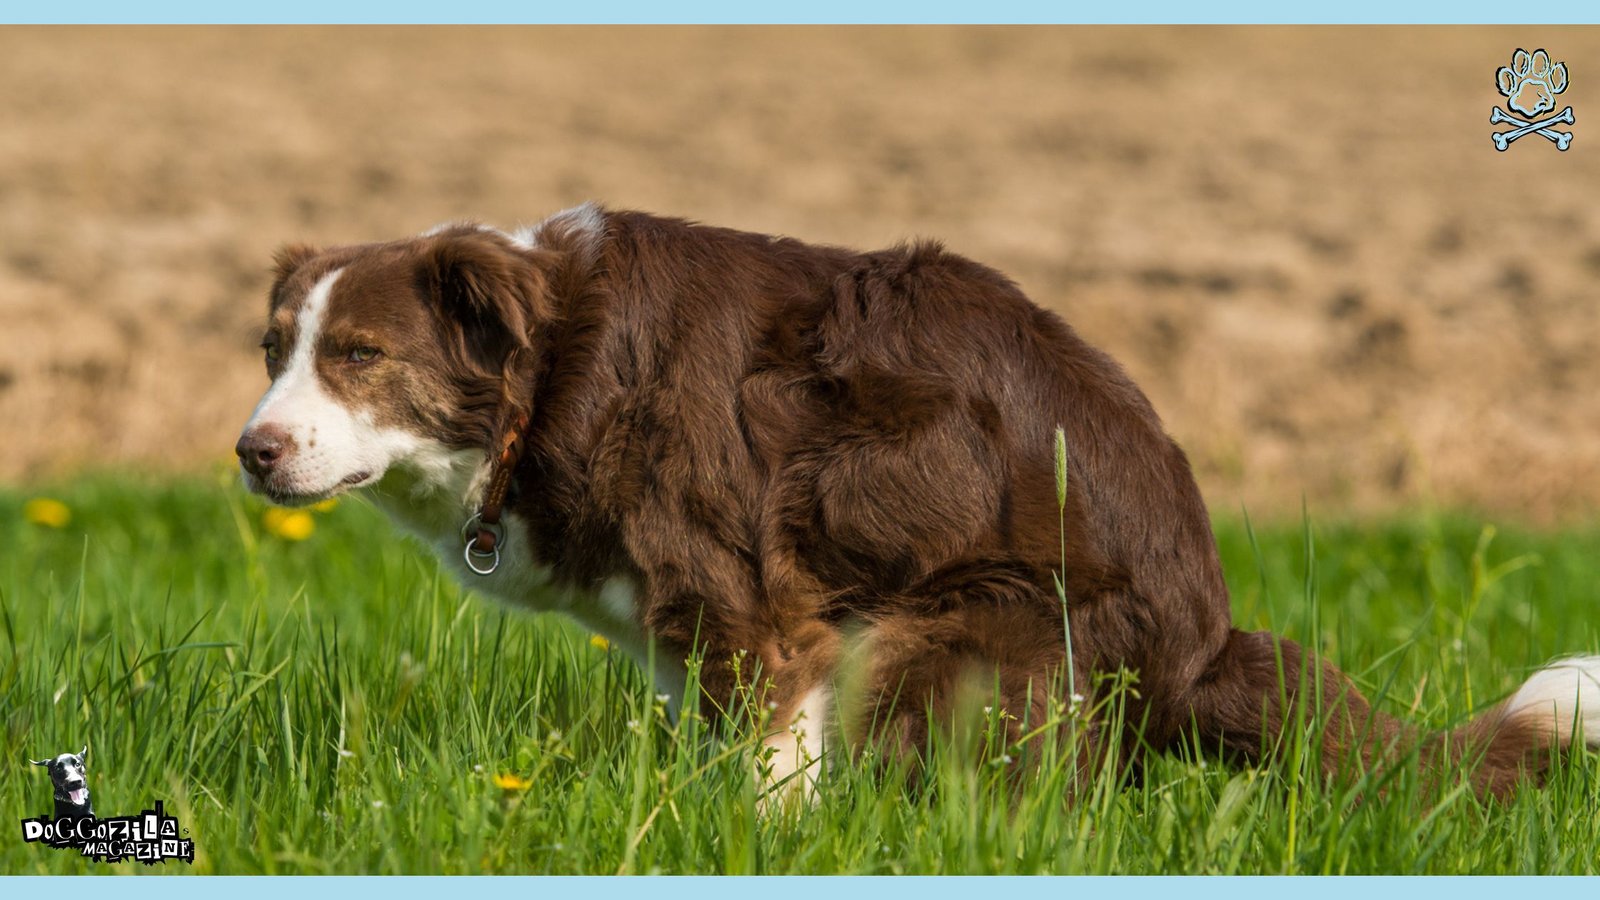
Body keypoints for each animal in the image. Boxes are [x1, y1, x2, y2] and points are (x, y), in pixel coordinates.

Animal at [236, 204, 1600, 797]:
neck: (553, 368)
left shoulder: (755, 604)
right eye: (272, 349)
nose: (251, 451)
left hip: (945, 628)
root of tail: (1203, 646)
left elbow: (769, 774)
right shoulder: (682, 633)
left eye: (358, 354)